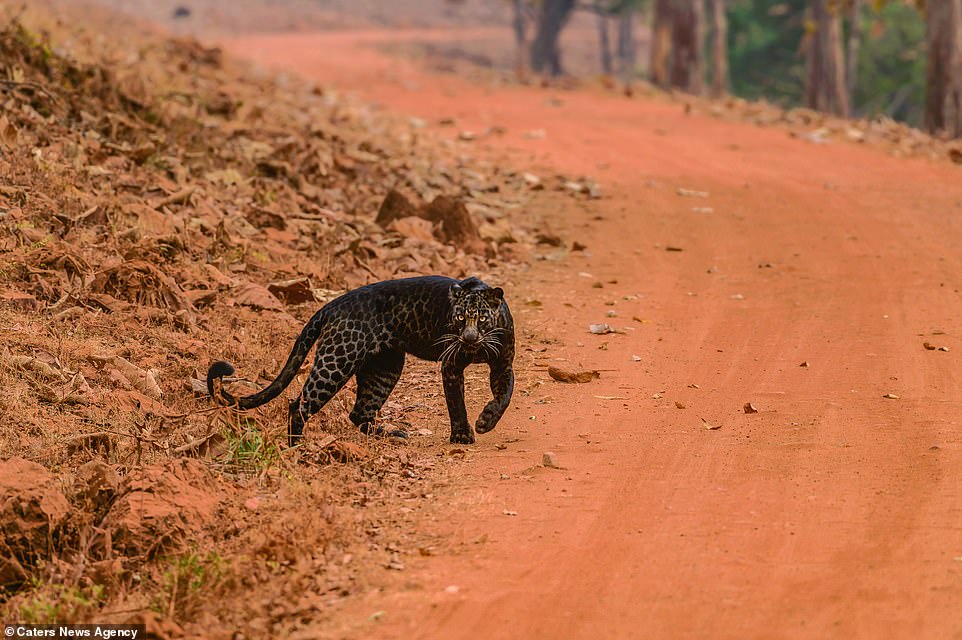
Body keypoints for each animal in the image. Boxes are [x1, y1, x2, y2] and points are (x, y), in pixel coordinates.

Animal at [206, 274, 512, 444]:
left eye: (481, 318)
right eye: (459, 318)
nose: (469, 338)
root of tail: (331, 305)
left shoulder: (502, 365)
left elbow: (504, 396)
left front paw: (486, 421)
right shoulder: (451, 366)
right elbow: (456, 402)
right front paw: (462, 435)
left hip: (385, 366)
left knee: (360, 412)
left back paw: (393, 435)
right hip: (337, 361)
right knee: (299, 405)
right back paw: (297, 447)